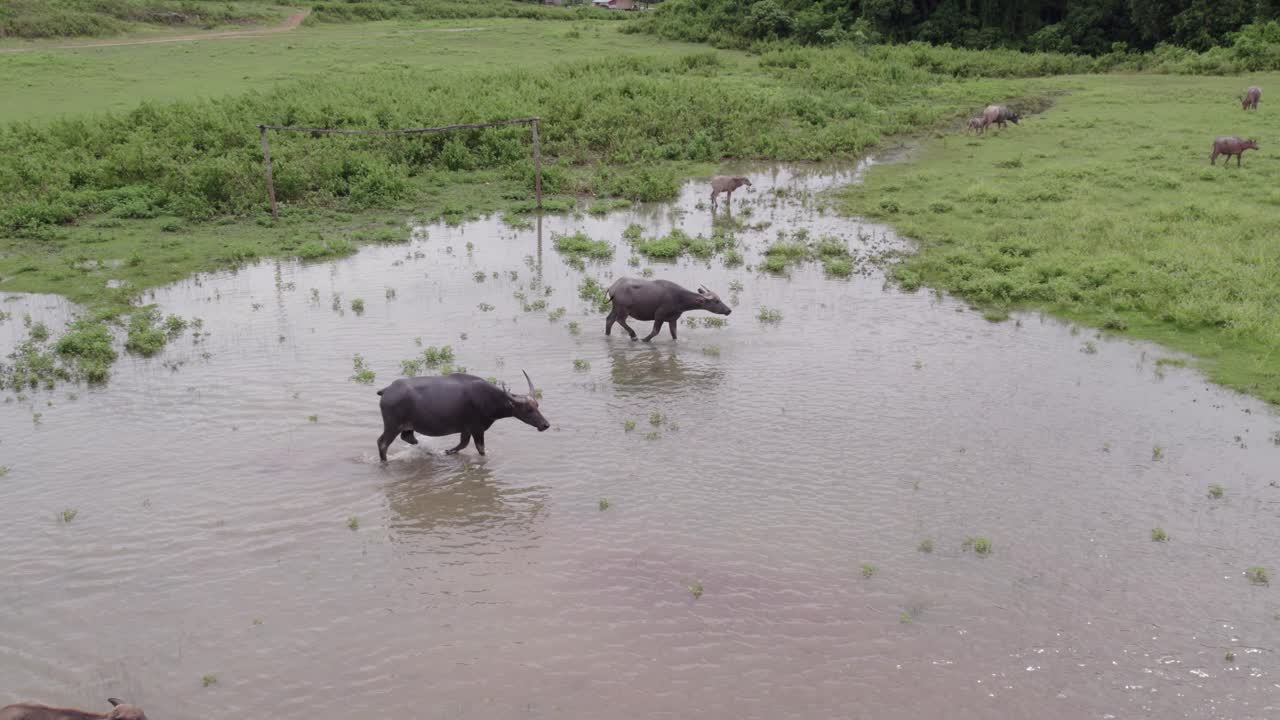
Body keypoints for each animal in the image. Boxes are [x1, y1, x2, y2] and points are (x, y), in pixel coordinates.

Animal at [376, 371, 548, 461]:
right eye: (528, 409)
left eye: (537, 406)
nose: (545, 425)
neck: (487, 398)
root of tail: (387, 390)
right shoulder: (477, 429)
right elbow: (480, 449)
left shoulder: (466, 429)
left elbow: (462, 445)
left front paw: (445, 452)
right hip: (392, 426)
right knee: (382, 443)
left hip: (407, 427)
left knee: (409, 438)